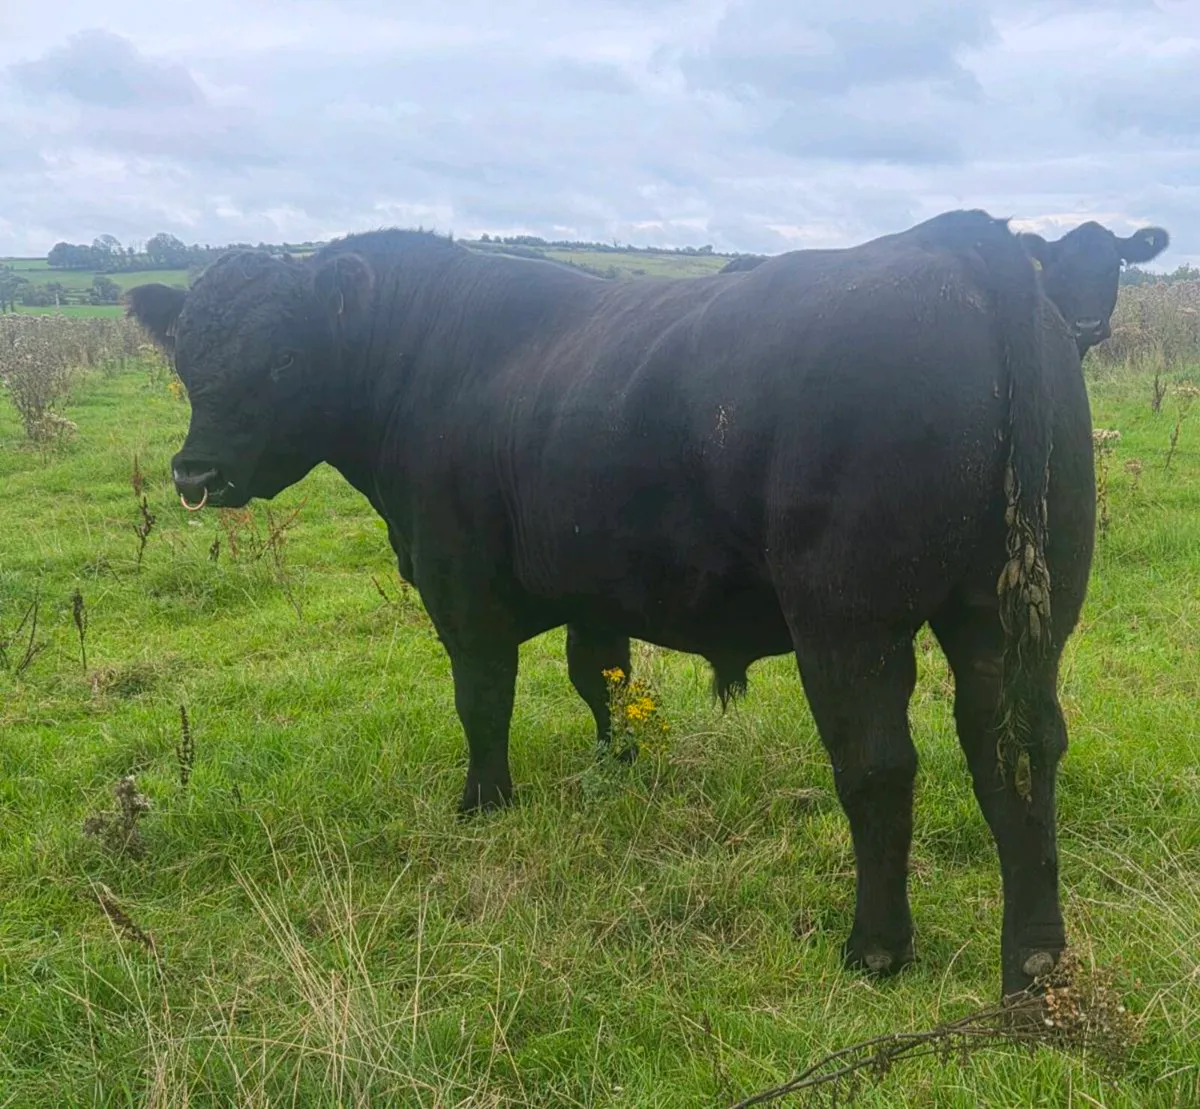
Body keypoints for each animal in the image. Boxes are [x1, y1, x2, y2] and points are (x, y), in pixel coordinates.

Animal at [127, 209, 1097, 999]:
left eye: (285, 356)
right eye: (188, 358)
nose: (194, 472)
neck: (420, 358)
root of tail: (958, 244)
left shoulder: (460, 588)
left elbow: (483, 700)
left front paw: (484, 801)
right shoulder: (593, 587)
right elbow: (601, 680)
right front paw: (617, 766)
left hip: (847, 621)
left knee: (880, 766)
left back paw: (877, 947)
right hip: (1012, 617)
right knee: (1015, 747)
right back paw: (1033, 955)